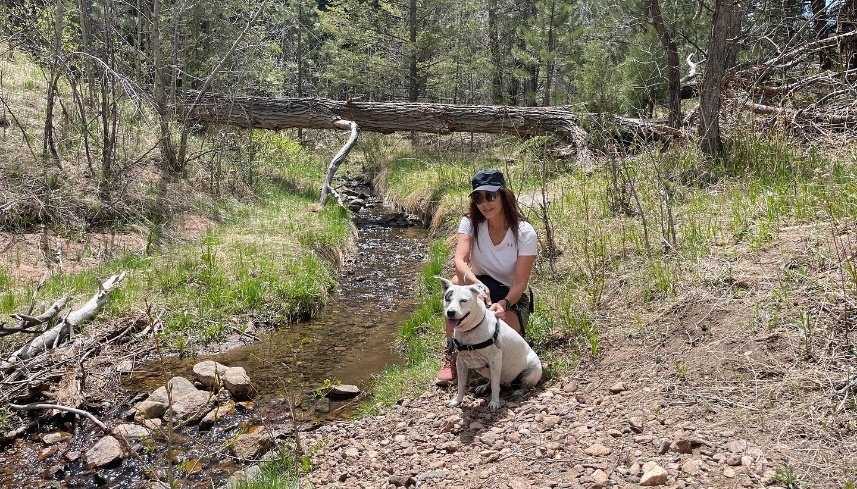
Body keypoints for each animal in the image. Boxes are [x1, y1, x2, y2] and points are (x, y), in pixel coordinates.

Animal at [442, 276, 540, 410]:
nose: (450, 312)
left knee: (524, 384)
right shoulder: (461, 363)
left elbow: (495, 386)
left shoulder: (495, 359)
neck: (470, 330)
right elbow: (461, 385)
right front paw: (457, 401)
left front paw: (494, 402)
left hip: (532, 370)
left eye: (463, 300)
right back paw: (484, 386)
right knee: (493, 380)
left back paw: (520, 391)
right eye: (447, 299)